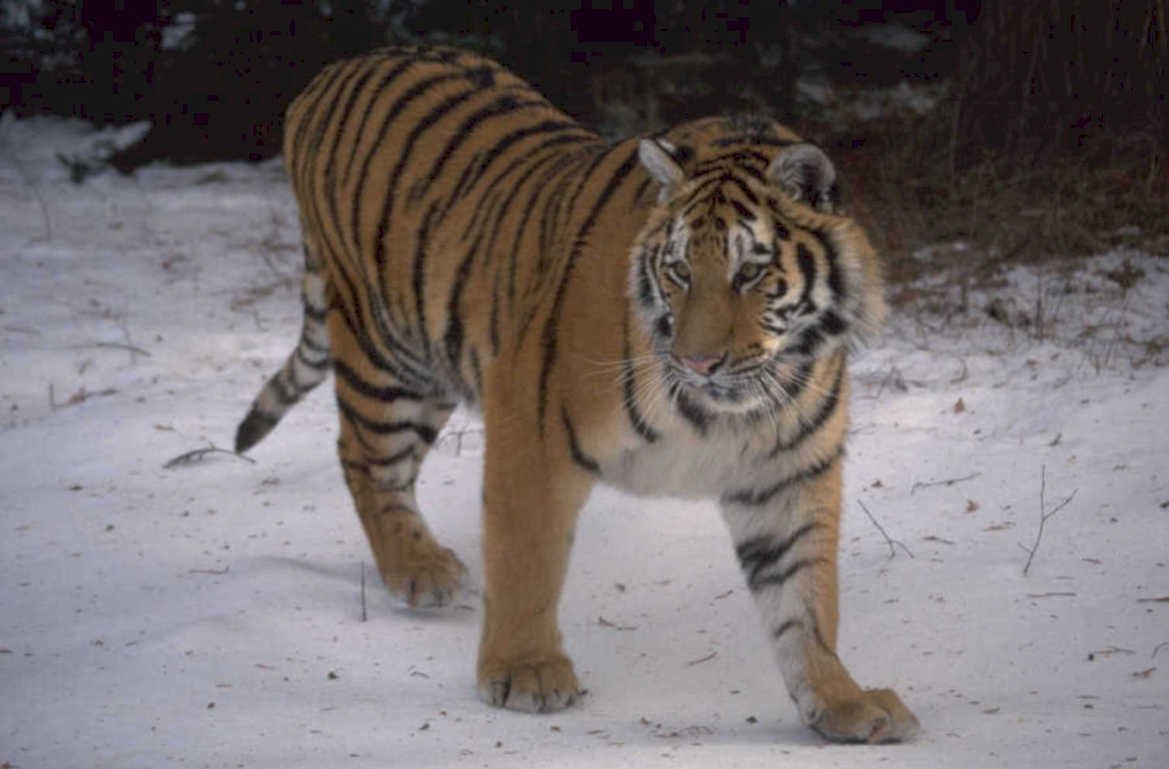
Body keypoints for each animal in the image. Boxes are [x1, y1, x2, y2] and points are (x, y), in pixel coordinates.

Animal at [233, 45, 918, 743]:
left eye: (750, 272)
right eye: (679, 271)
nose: (697, 362)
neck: (730, 410)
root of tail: (338, 68)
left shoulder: (789, 474)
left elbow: (805, 599)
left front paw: (841, 702)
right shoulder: (531, 422)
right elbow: (527, 557)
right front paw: (525, 672)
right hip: (385, 349)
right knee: (364, 457)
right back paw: (419, 570)